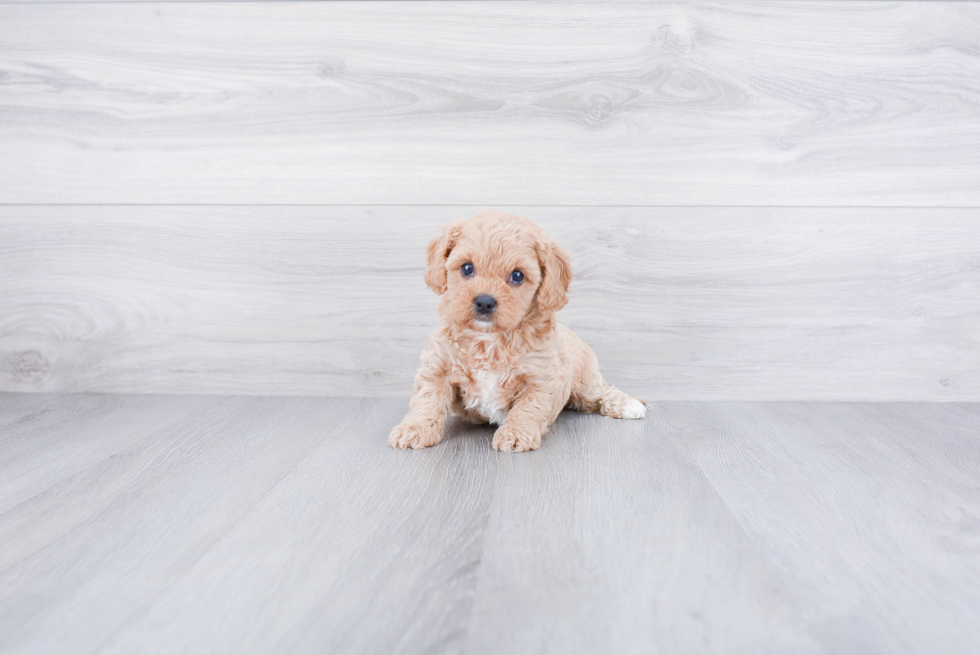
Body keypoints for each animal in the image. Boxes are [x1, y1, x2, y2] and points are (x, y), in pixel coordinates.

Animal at [386, 210, 648, 452]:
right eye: (467, 268)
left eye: (517, 275)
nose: (484, 302)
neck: (489, 339)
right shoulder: (437, 367)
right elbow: (427, 400)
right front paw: (414, 429)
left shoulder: (542, 377)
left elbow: (529, 408)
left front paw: (515, 434)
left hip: (585, 381)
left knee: (602, 392)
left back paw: (628, 404)